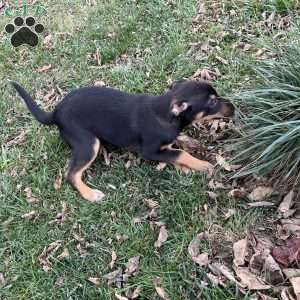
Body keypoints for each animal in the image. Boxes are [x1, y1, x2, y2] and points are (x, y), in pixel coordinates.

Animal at [9, 79, 234, 202]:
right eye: (212, 102)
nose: (233, 107)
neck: (166, 115)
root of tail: (55, 113)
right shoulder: (149, 150)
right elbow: (180, 153)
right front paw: (203, 165)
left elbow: (174, 151)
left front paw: (186, 166)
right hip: (88, 144)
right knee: (71, 174)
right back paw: (90, 194)